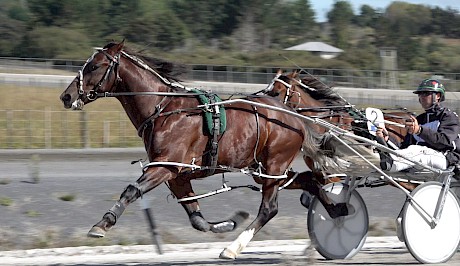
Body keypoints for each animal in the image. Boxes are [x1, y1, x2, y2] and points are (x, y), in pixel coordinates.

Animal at [59, 40, 350, 258]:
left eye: (94, 66)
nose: (66, 96)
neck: (164, 109)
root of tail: (294, 115)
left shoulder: (165, 166)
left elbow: (132, 190)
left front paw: (102, 225)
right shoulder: (177, 175)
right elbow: (196, 218)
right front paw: (230, 221)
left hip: (274, 164)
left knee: (269, 209)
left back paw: (233, 249)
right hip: (265, 169)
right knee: (311, 181)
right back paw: (337, 213)